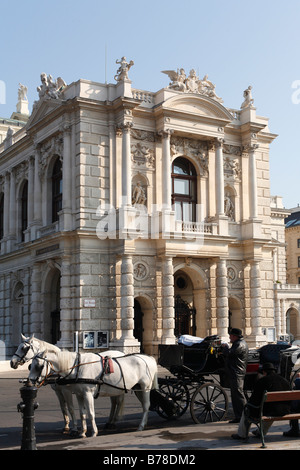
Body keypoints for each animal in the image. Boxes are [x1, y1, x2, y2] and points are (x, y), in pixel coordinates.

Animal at [29, 348, 158, 436]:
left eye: (39, 366)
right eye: (30, 365)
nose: (30, 381)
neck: (77, 368)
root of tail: (149, 358)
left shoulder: (87, 393)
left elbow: (90, 413)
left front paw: (93, 432)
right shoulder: (79, 395)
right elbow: (82, 413)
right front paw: (82, 432)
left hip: (145, 387)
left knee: (146, 405)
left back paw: (141, 425)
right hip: (136, 388)